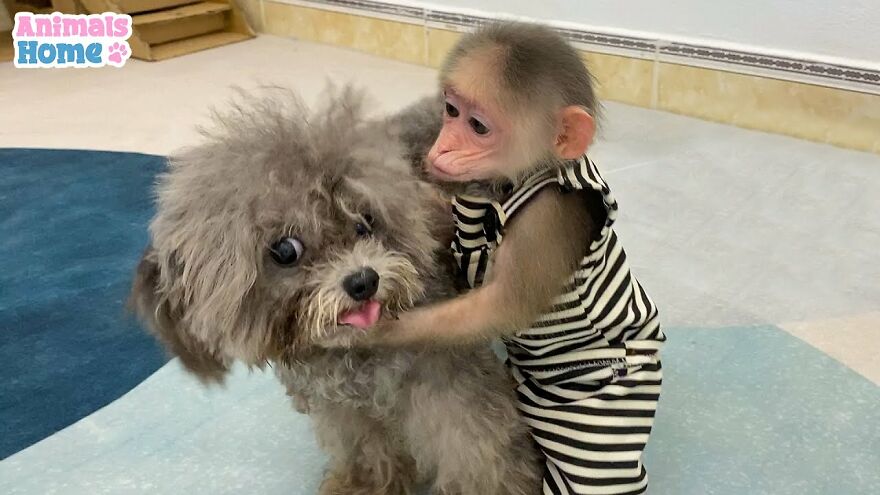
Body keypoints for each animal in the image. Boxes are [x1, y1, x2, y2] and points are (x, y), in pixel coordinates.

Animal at [368, 22, 666, 495]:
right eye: (451, 110)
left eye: (477, 126)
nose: (443, 146)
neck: (509, 186)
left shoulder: (549, 220)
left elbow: (502, 305)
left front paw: (374, 333)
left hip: (601, 406)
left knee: (592, 474)